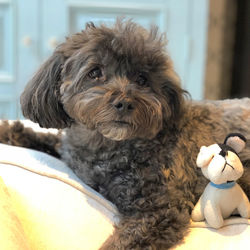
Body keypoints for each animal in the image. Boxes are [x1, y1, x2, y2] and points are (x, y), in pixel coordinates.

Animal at [1, 20, 250, 250]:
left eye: (142, 79)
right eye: (95, 72)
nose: (125, 102)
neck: (108, 145)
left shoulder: (160, 210)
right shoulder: (70, 151)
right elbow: (47, 139)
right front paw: (8, 131)